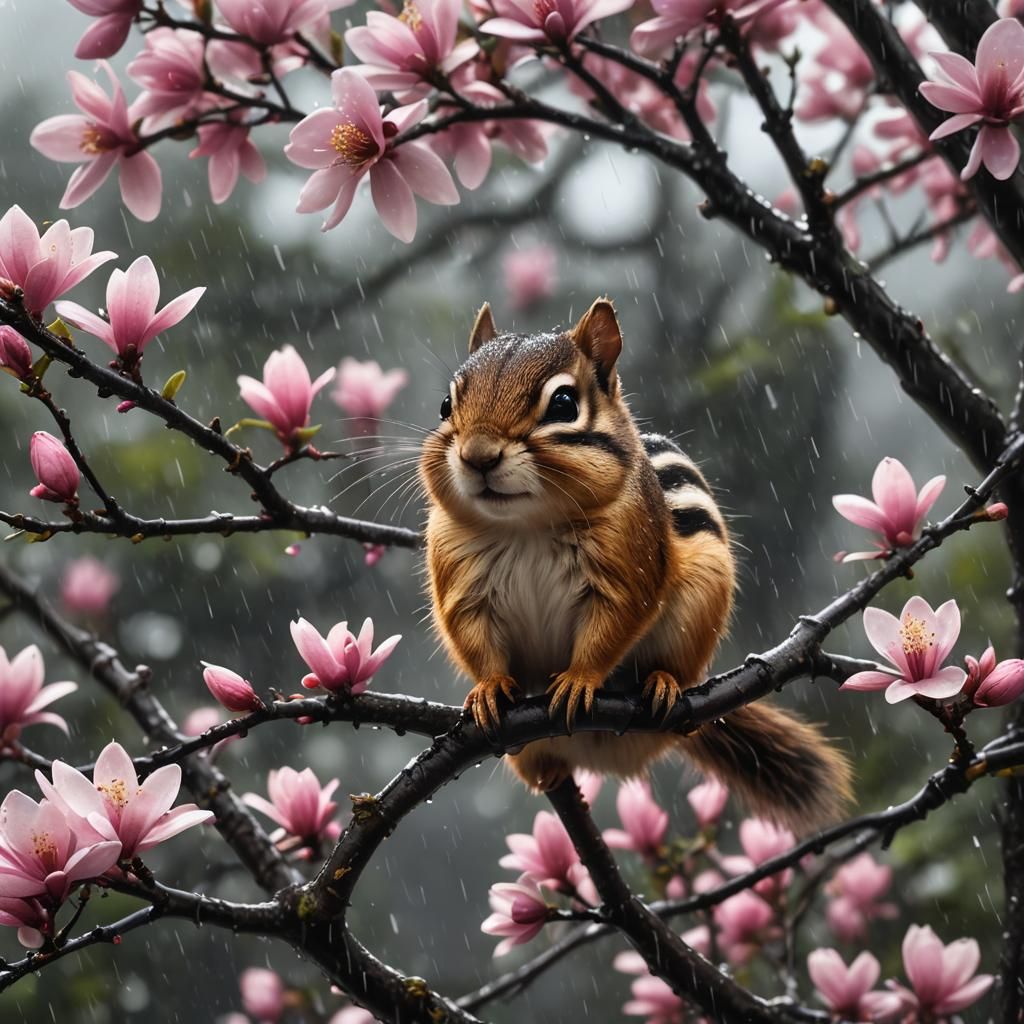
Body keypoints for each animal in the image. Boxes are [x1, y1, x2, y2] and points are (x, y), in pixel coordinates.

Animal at [419, 297, 852, 832]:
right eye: (445, 405)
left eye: (563, 405)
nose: (477, 455)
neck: (528, 527)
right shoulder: (460, 577)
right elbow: (472, 636)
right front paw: (488, 687)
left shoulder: (628, 567)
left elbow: (613, 626)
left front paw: (580, 679)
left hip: (701, 600)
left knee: (676, 668)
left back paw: (663, 683)